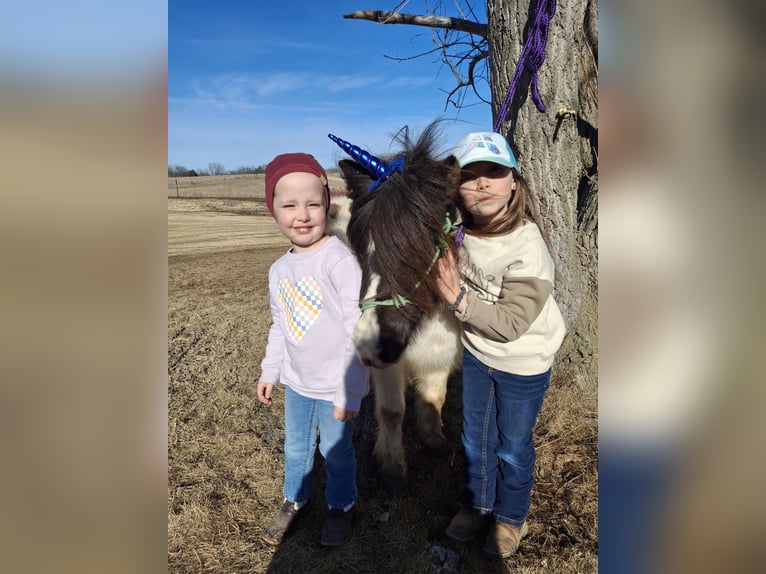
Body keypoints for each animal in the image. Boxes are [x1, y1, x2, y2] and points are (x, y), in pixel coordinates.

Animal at [328, 123, 464, 494]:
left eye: (424, 244)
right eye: (360, 242)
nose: (369, 346)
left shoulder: (440, 351)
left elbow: (435, 398)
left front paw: (434, 441)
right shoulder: (388, 365)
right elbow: (392, 411)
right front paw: (391, 466)